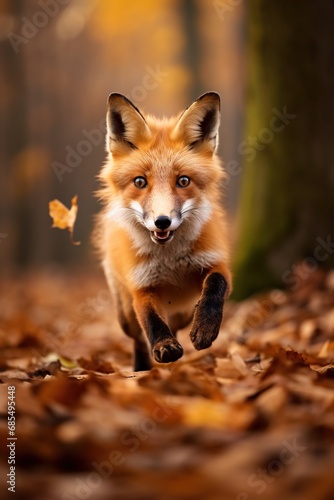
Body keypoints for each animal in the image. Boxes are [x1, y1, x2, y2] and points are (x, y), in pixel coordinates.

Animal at [96, 92, 232, 370]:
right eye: (140, 182)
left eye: (183, 181)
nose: (162, 222)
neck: (170, 259)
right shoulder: (142, 286)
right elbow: (151, 320)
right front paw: (164, 346)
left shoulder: (217, 263)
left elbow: (216, 284)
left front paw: (205, 328)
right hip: (125, 315)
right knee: (137, 337)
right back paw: (141, 368)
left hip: (183, 312)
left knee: (177, 322)